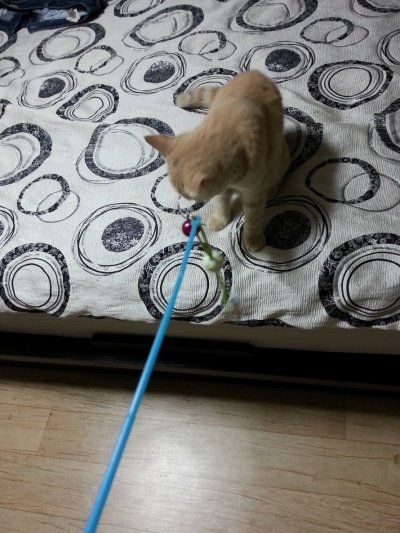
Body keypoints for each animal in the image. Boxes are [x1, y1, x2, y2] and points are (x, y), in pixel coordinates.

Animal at [145, 70, 289, 252]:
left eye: (188, 196)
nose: (190, 200)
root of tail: (254, 72)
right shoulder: (220, 189)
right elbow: (220, 203)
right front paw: (220, 219)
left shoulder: (253, 192)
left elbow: (253, 218)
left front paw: (253, 238)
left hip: (278, 160)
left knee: (276, 176)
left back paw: (270, 190)